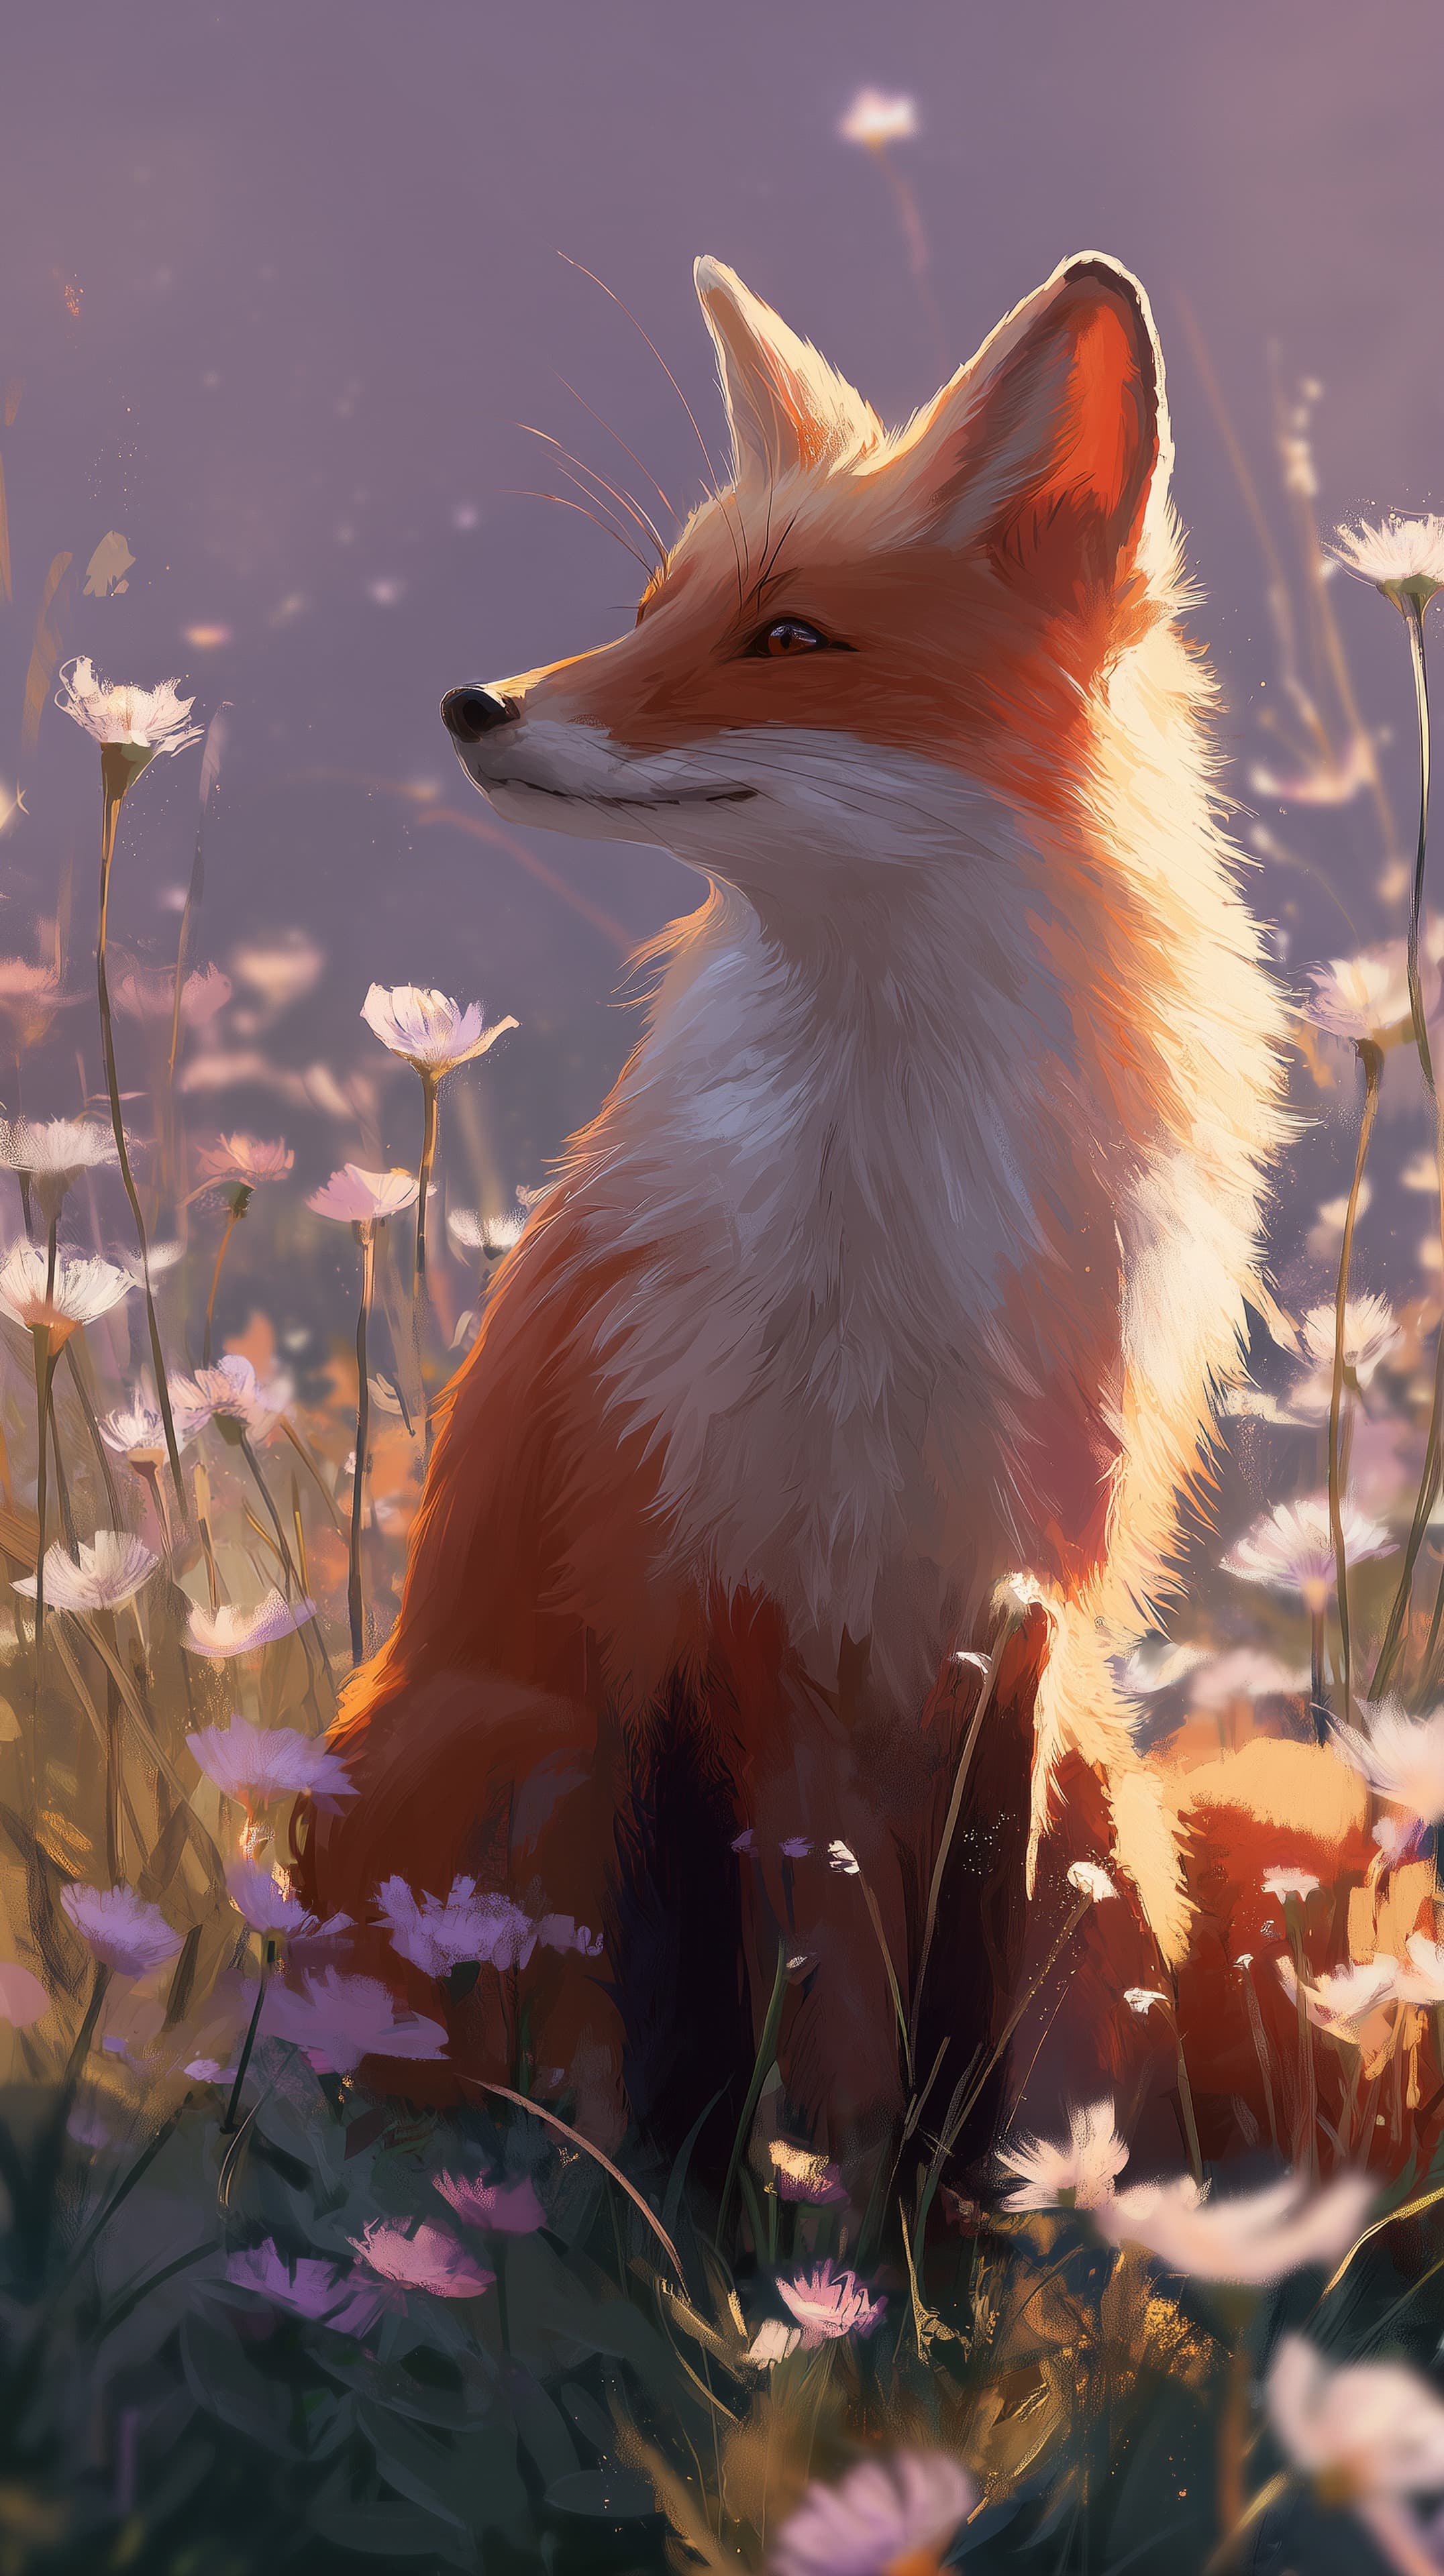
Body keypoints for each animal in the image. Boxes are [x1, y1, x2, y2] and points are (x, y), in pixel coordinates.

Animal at [299, 250, 1291, 2184]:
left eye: (788, 641)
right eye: (648, 605)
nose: (474, 703)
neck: (890, 1204)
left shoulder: (1012, 1616)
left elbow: (977, 2007)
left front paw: (966, 2240)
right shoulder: (708, 1599)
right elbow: (753, 1999)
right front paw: (760, 2234)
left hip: (1105, 1801)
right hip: (493, 1763)